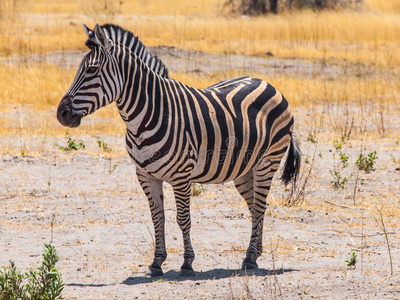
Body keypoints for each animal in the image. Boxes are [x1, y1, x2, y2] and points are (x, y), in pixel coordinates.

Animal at [56, 22, 300, 276]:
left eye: (92, 70)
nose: (61, 114)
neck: (148, 114)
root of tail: (266, 82)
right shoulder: (145, 175)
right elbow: (157, 218)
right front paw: (156, 262)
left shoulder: (181, 176)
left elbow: (183, 219)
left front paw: (187, 263)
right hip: (244, 169)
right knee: (255, 207)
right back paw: (255, 253)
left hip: (268, 162)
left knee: (260, 206)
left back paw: (251, 258)